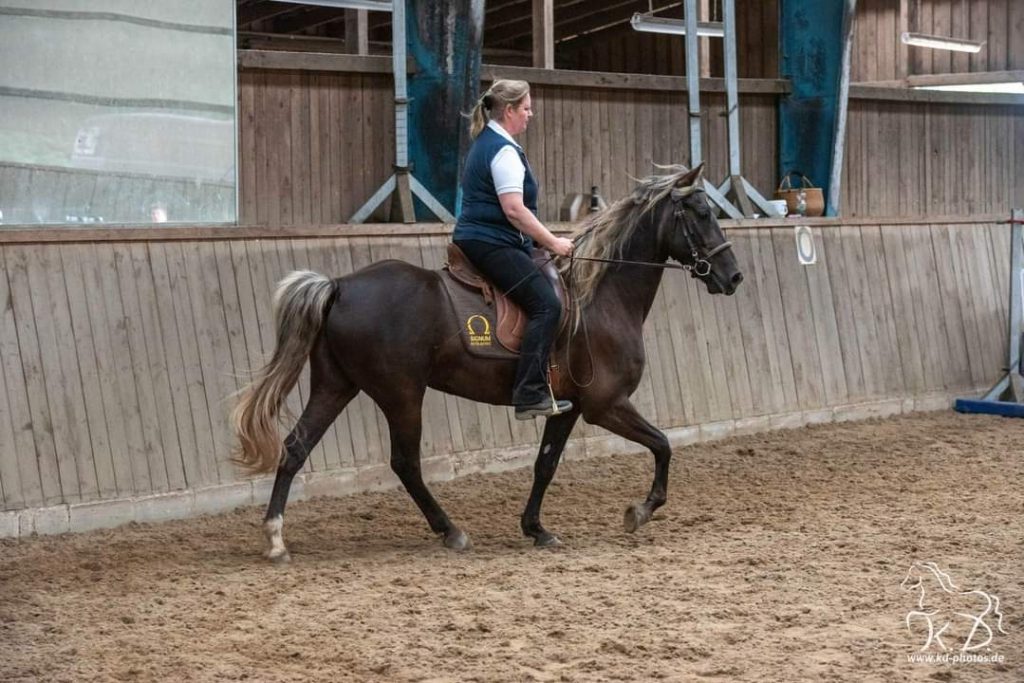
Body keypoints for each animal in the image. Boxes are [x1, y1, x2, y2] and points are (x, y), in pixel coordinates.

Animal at [232, 163, 745, 561]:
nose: (733, 276)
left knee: (295, 447)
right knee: (405, 463)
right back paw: (451, 531)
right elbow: (663, 445)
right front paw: (639, 511)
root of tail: (339, 285)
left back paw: (275, 539)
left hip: (336, 385)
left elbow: (545, 464)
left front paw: (536, 529)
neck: (602, 296)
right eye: (702, 213)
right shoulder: (606, 405)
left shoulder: (569, 407)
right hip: (401, 394)